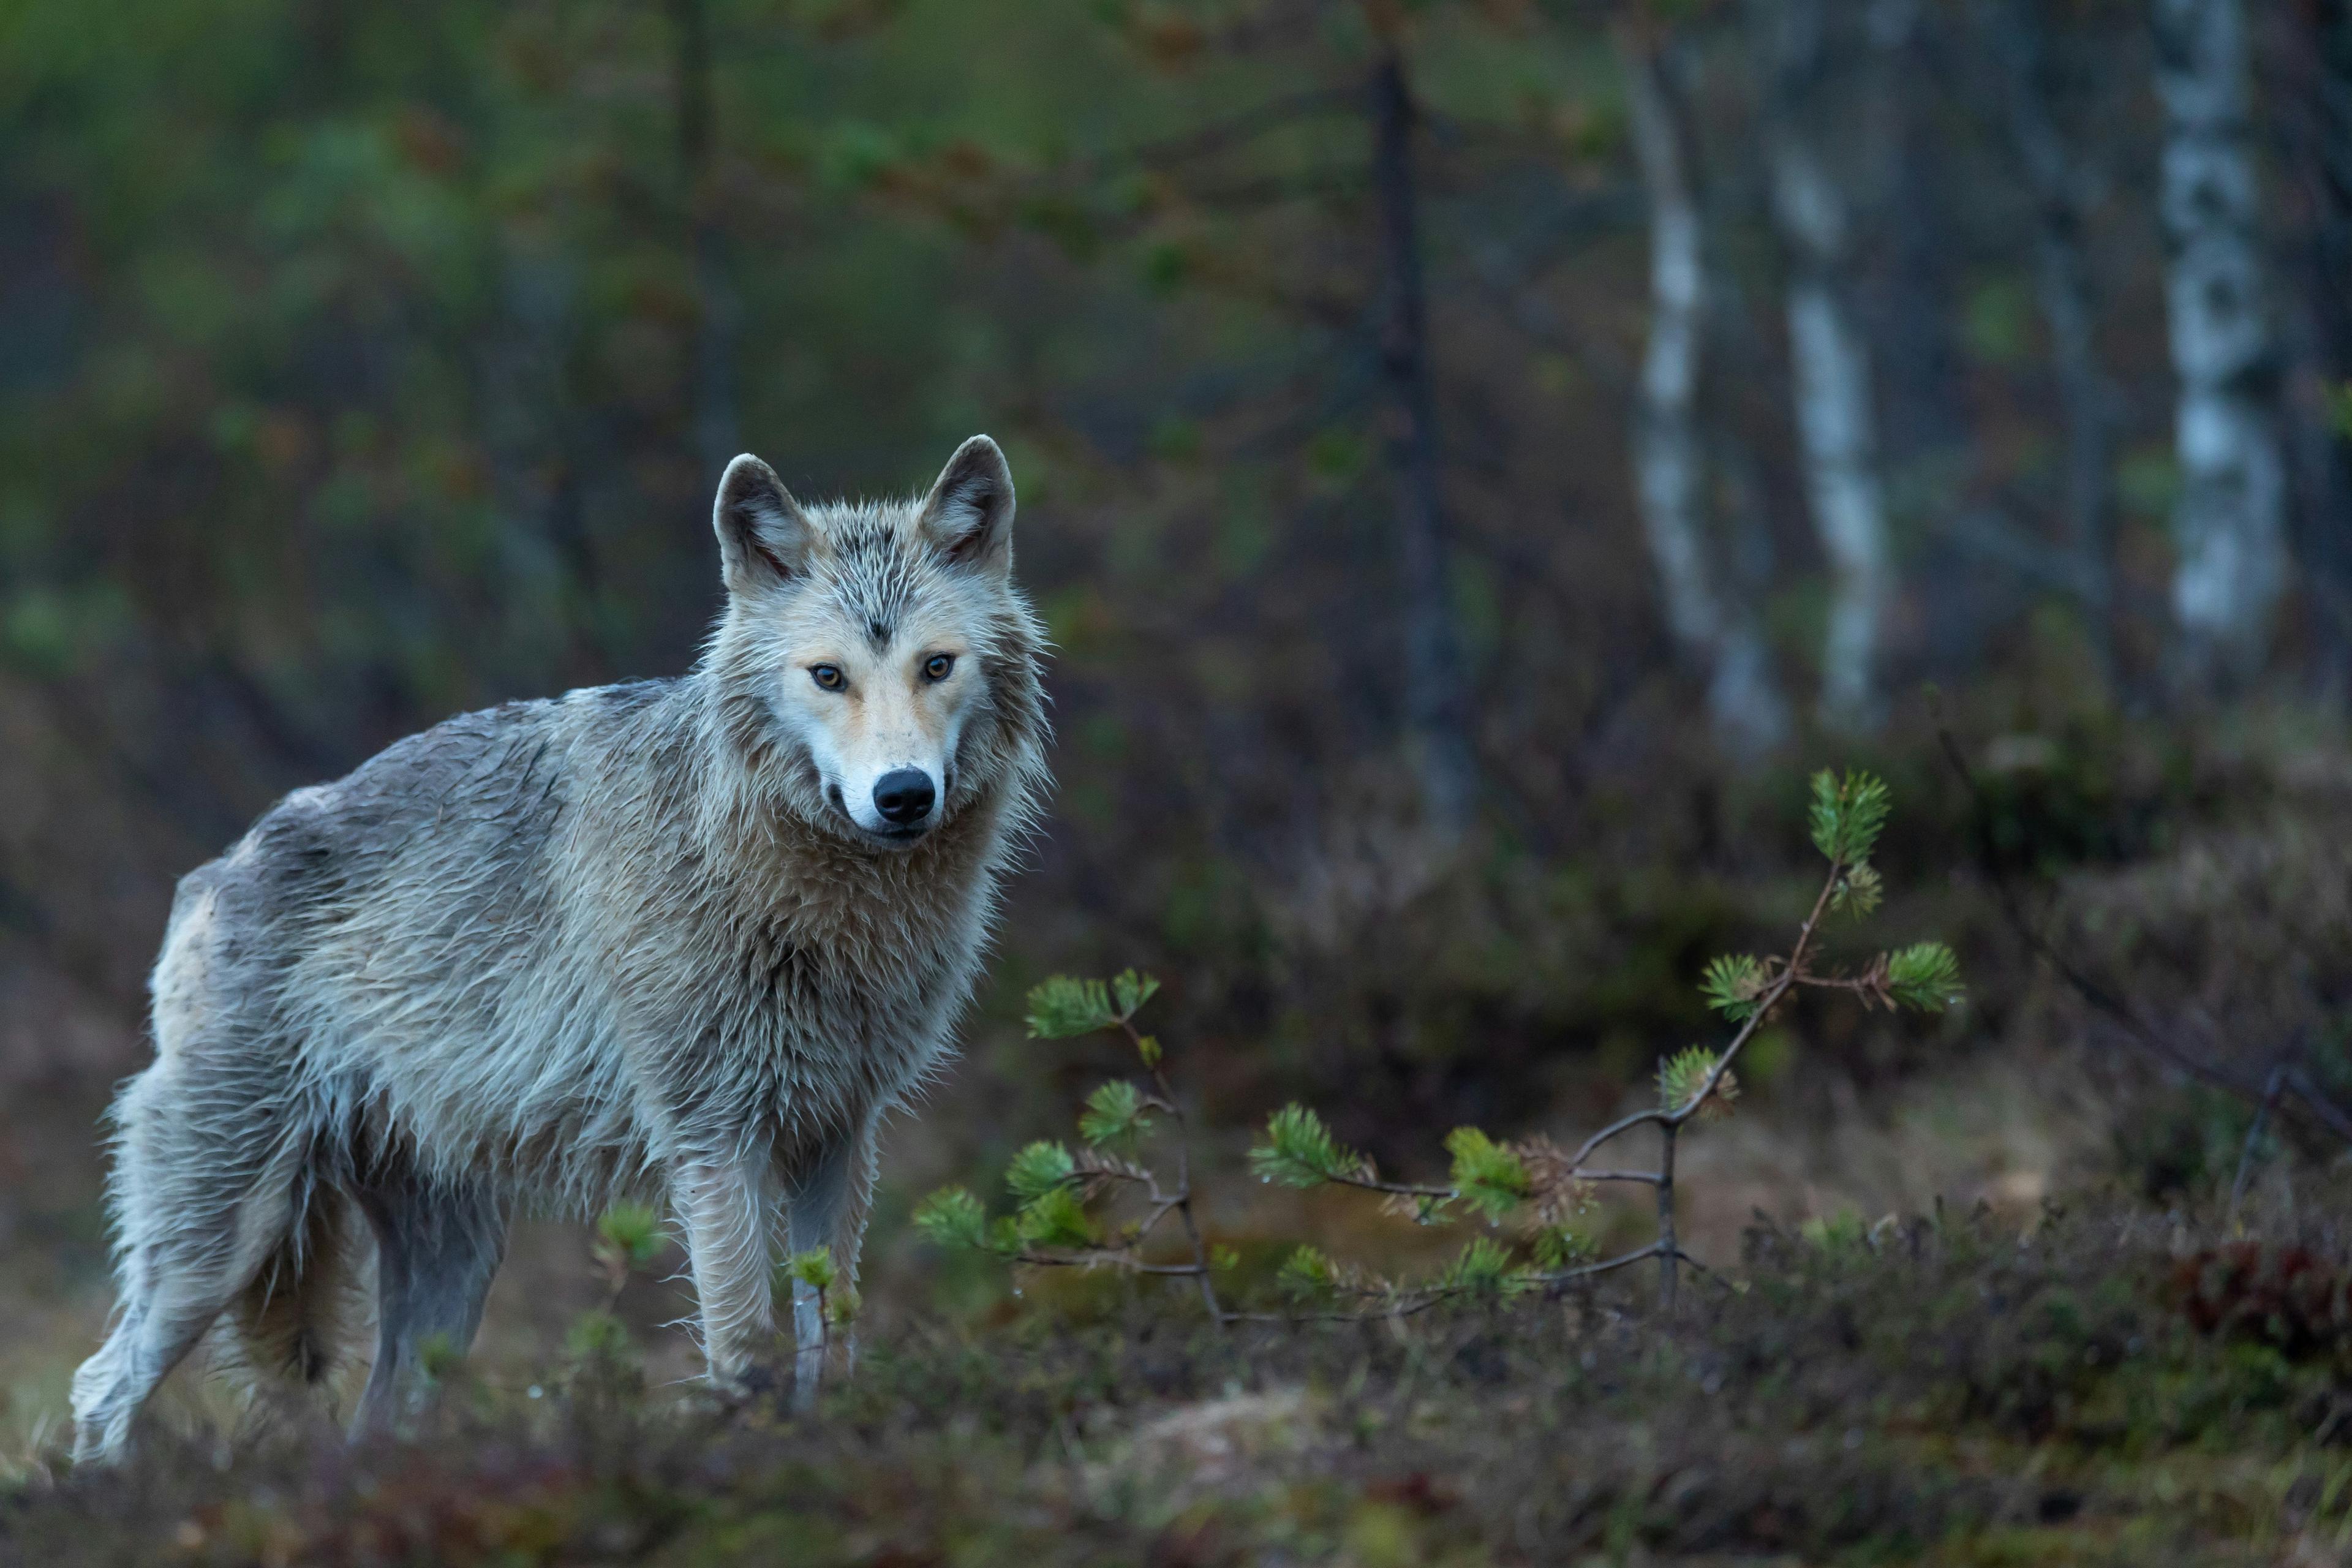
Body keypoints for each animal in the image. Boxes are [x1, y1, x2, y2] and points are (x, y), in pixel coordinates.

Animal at [71, 435, 1049, 1466]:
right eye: (830, 677)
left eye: (936, 665)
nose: (903, 794)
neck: (803, 897)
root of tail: (211, 874)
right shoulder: (714, 1140)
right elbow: (745, 1344)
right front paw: (749, 1455)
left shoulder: (840, 1136)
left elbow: (836, 1332)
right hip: (223, 1240)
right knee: (100, 1388)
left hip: (451, 1274)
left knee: (374, 1417)